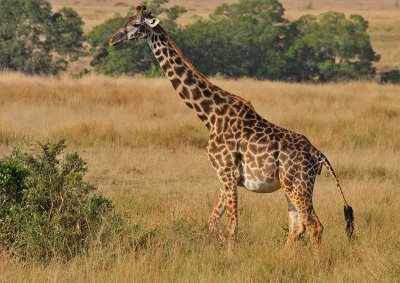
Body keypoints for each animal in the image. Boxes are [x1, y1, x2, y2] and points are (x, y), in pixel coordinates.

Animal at [108, 6, 354, 251]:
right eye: (126, 20)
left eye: (137, 24)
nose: (113, 39)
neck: (211, 116)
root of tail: (319, 155)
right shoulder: (225, 176)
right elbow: (212, 221)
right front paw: (224, 247)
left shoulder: (226, 172)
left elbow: (232, 225)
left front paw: (230, 253)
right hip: (290, 185)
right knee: (298, 225)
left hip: (299, 184)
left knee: (314, 226)